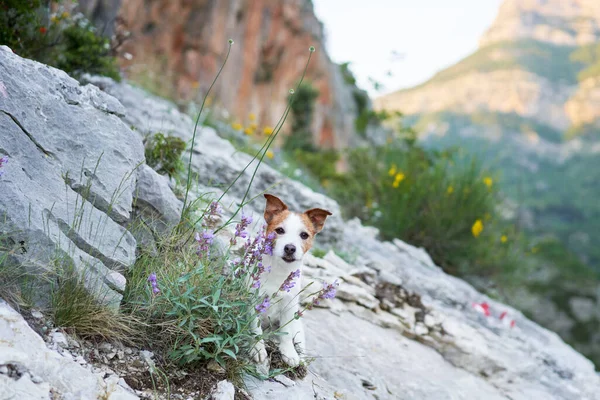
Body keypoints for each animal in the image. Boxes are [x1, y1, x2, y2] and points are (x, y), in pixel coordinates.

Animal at [250, 194, 330, 372]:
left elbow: (286, 333)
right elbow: (254, 327)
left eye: (304, 235)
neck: (280, 271)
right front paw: (257, 347)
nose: (290, 248)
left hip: (298, 329)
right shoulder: (253, 302)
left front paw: (289, 353)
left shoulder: (289, 306)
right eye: (280, 230)